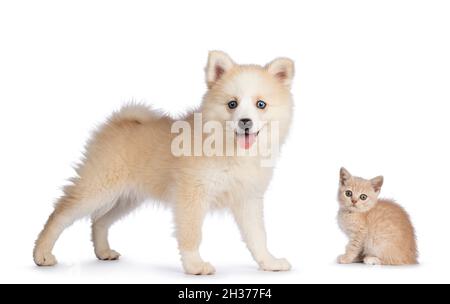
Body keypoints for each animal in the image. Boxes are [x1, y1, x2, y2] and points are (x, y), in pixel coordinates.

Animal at [35, 51, 296, 274]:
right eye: (232, 104)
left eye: (261, 104)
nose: (245, 121)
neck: (230, 149)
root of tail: (119, 122)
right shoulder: (191, 195)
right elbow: (192, 234)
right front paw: (194, 266)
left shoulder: (248, 199)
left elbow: (258, 236)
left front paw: (269, 262)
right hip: (98, 187)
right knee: (60, 214)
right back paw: (41, 253)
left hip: (126, 197)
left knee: (99, 221)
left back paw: (103, 251)